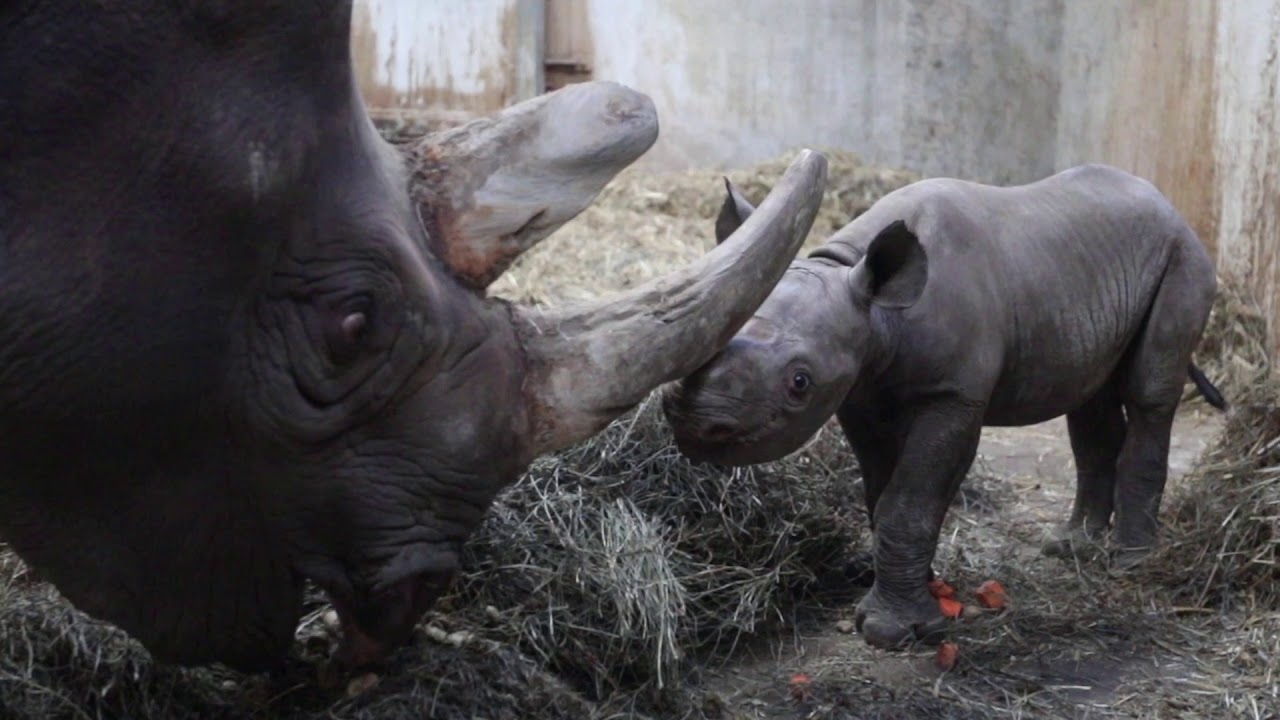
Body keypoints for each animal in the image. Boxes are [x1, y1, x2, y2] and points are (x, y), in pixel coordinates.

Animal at [665, 163, 1223, 650]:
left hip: (1182, 256)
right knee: (1089, 396)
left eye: (800, 382)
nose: (698, 423)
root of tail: (1167, 204)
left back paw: (1130, 562)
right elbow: (882, 495)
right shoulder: (862, 394)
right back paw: (1071, 546)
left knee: (1149, 392)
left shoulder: (953, 393)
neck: (876, 311)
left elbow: (910, 501)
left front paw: (894, 632)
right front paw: (918, 591)